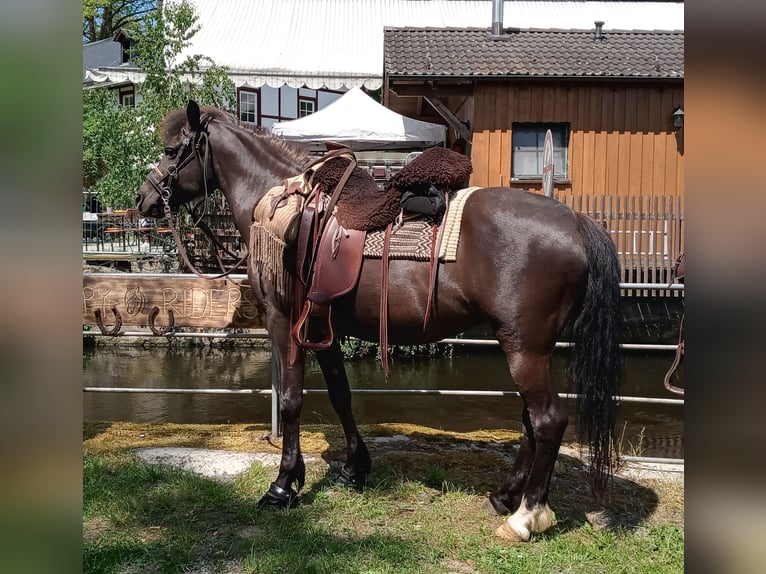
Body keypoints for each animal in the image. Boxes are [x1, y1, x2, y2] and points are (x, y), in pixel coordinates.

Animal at [136, 101, 622, 542]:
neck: (282, 206)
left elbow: (292, 400)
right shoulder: (322, 326)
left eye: (173, 150)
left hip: (524, 346)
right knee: (530, 421)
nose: (144, 198)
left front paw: (284, 485)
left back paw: (526, 517)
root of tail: (575, 221)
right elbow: (340, 395)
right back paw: (505, 496)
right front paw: (355, 468)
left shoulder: (284, 323)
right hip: (526, 346)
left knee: (547, 420)